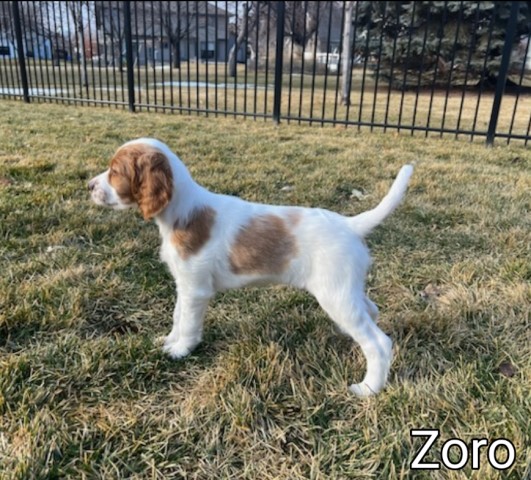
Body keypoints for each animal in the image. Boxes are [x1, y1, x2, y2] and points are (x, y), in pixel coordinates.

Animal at [88, 137, 416, 396]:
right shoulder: (184, 285)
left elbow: (189, 323)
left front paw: (181, 350)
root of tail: (350, 224)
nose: (88, 185)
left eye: (115, 171)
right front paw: (169, 339)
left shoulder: (196, 289)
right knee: (371, 311)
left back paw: (369, 388)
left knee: (378, 342)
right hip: (347, 289)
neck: (183, 210)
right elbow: (177, 315)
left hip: (335, 294)